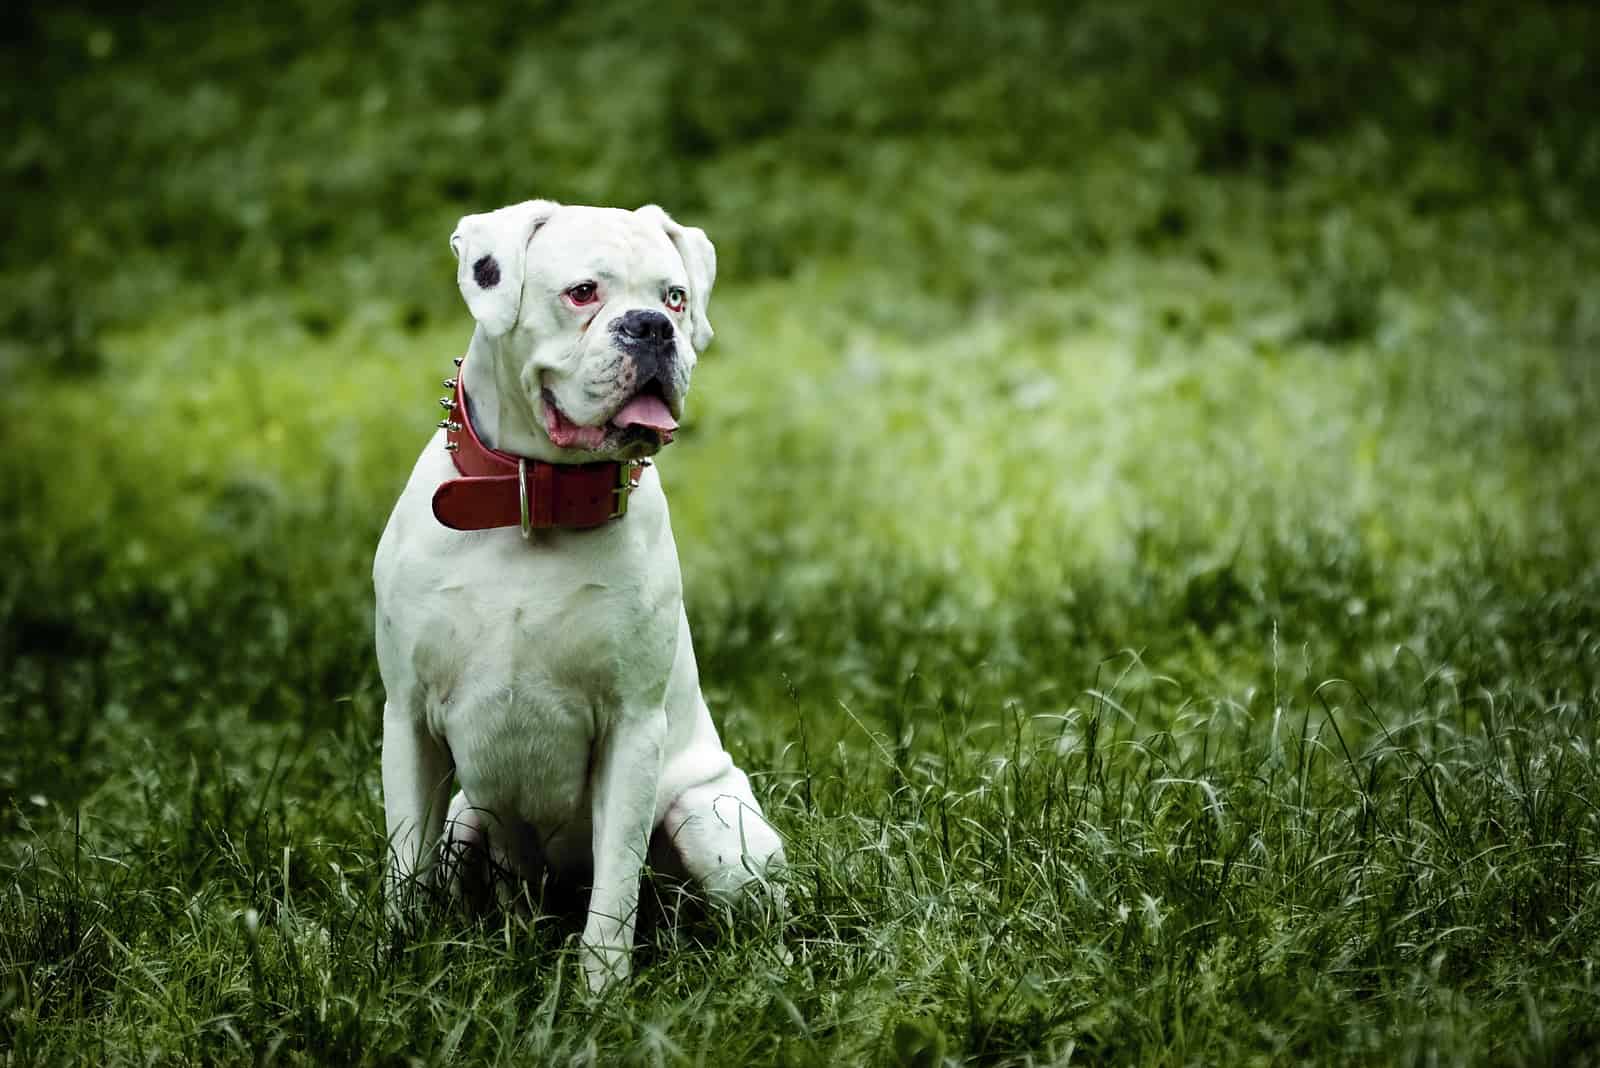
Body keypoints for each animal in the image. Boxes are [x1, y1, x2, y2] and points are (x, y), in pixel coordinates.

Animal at [368, 199, 780, 991]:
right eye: (584, 292)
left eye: (675, 297)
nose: (651, 327)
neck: (537, 500)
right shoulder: (407, 719)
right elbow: (406, 863)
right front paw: (394, 961)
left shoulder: (631, 729)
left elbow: (615, 887)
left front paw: (601, 990)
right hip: (468, 817)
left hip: (706, 817)